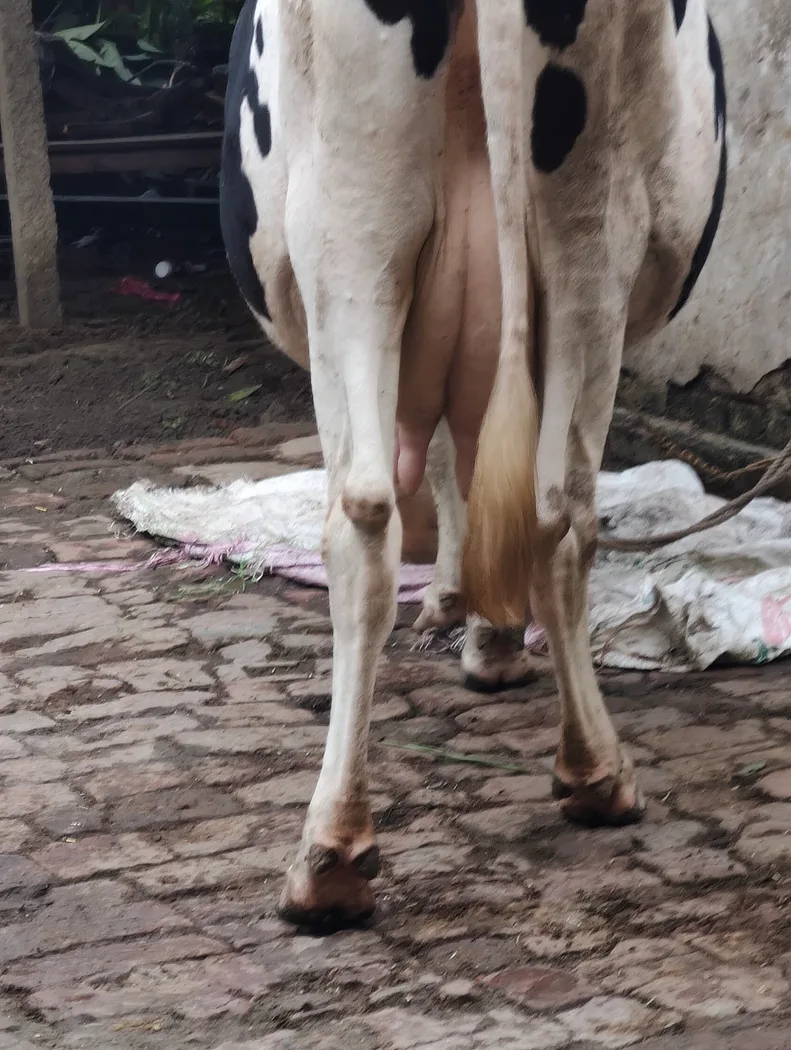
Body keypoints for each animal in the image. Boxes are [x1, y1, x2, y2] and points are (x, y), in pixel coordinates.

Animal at [220, 0, 727, 926]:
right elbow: (472, 466)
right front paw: (482, 626)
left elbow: (453, 465)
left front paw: (469, 618)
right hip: (577, 236)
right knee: (548, 505)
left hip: (353, 230)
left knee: (373, 510)